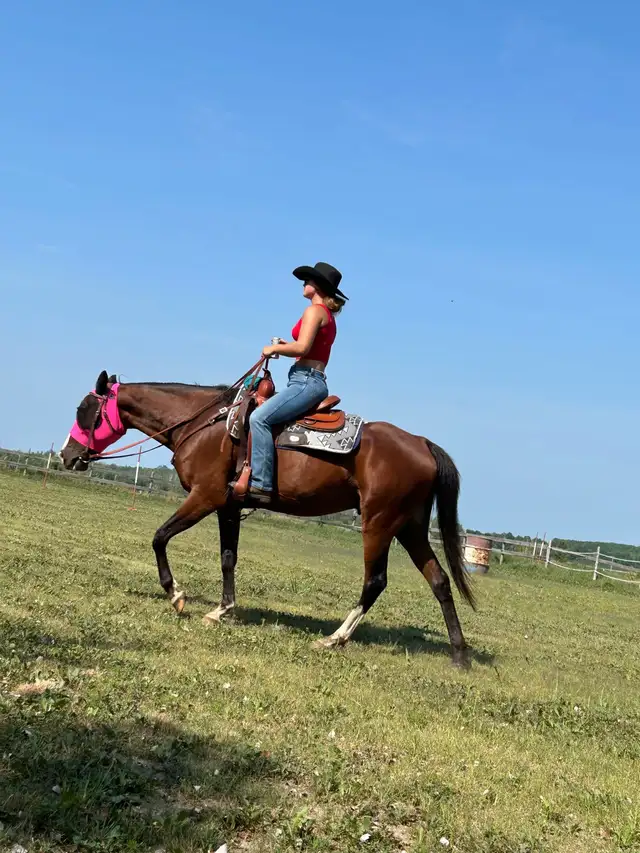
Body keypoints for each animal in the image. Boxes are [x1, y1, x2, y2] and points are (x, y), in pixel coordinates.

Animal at [60, 369, 475, 667]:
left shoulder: (205, 497)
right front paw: (222, 610)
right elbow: (228, 558)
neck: (204, 425)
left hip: (379, 523)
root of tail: (421, 443)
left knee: (375, 581)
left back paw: (335, 638)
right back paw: (459, 655)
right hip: (410, 527)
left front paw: (176, 595)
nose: (68, 455)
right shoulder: (227, 507)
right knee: (439, 580)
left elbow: (159, 537)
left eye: (85, 410)